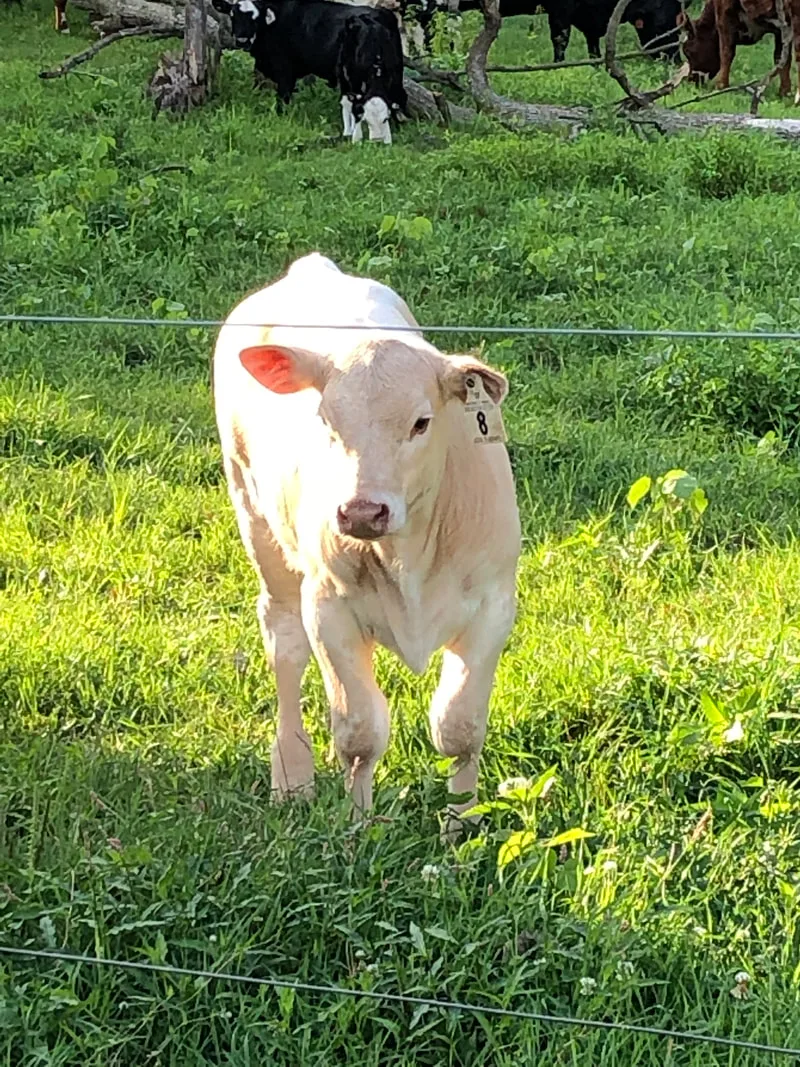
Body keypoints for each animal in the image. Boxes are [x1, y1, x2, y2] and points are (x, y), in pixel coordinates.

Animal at [213, 253, 521, 834]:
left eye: (422, 422)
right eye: (326, 419)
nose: (360, 510)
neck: (410, 555)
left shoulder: (494, 605)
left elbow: (460, 727)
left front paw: (461, 824)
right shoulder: (327, 608)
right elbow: (360, 732)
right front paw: (358, 826)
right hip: (256, 520)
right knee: (284, 645)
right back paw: (291, 775)